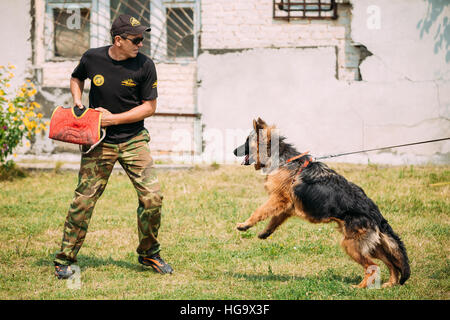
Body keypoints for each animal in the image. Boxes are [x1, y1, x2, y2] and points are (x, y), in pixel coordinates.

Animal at [234, 119, 410, 288]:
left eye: (247, 141)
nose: (233, 151)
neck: (281, 159)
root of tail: (376, 214)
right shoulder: (287, 206)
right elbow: (274, 219)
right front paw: (265, 232)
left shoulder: (279, 199)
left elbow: (259, 211)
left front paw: (245, 224)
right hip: (372, 247)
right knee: (391, 263)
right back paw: (390, 283)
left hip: (351, 245)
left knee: (373, 266)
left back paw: (360, 287)